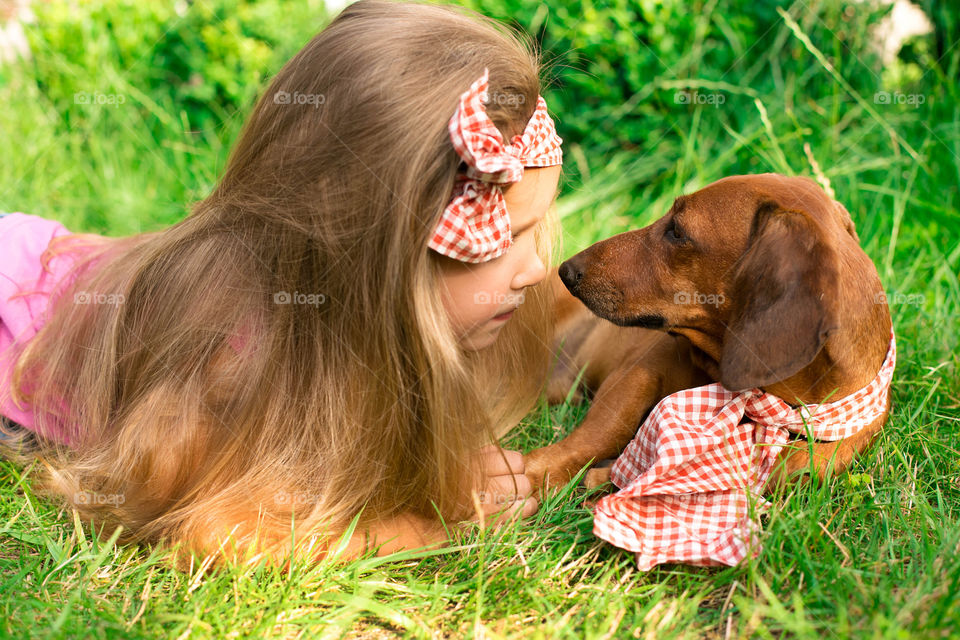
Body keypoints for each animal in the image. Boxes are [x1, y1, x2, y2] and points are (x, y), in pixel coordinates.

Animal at [524, 174, 892, 496]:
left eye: (676, 230)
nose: (567, 271)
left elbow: (801, 464)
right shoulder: (639, 372)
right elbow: (603, 431)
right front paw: (533, 474)